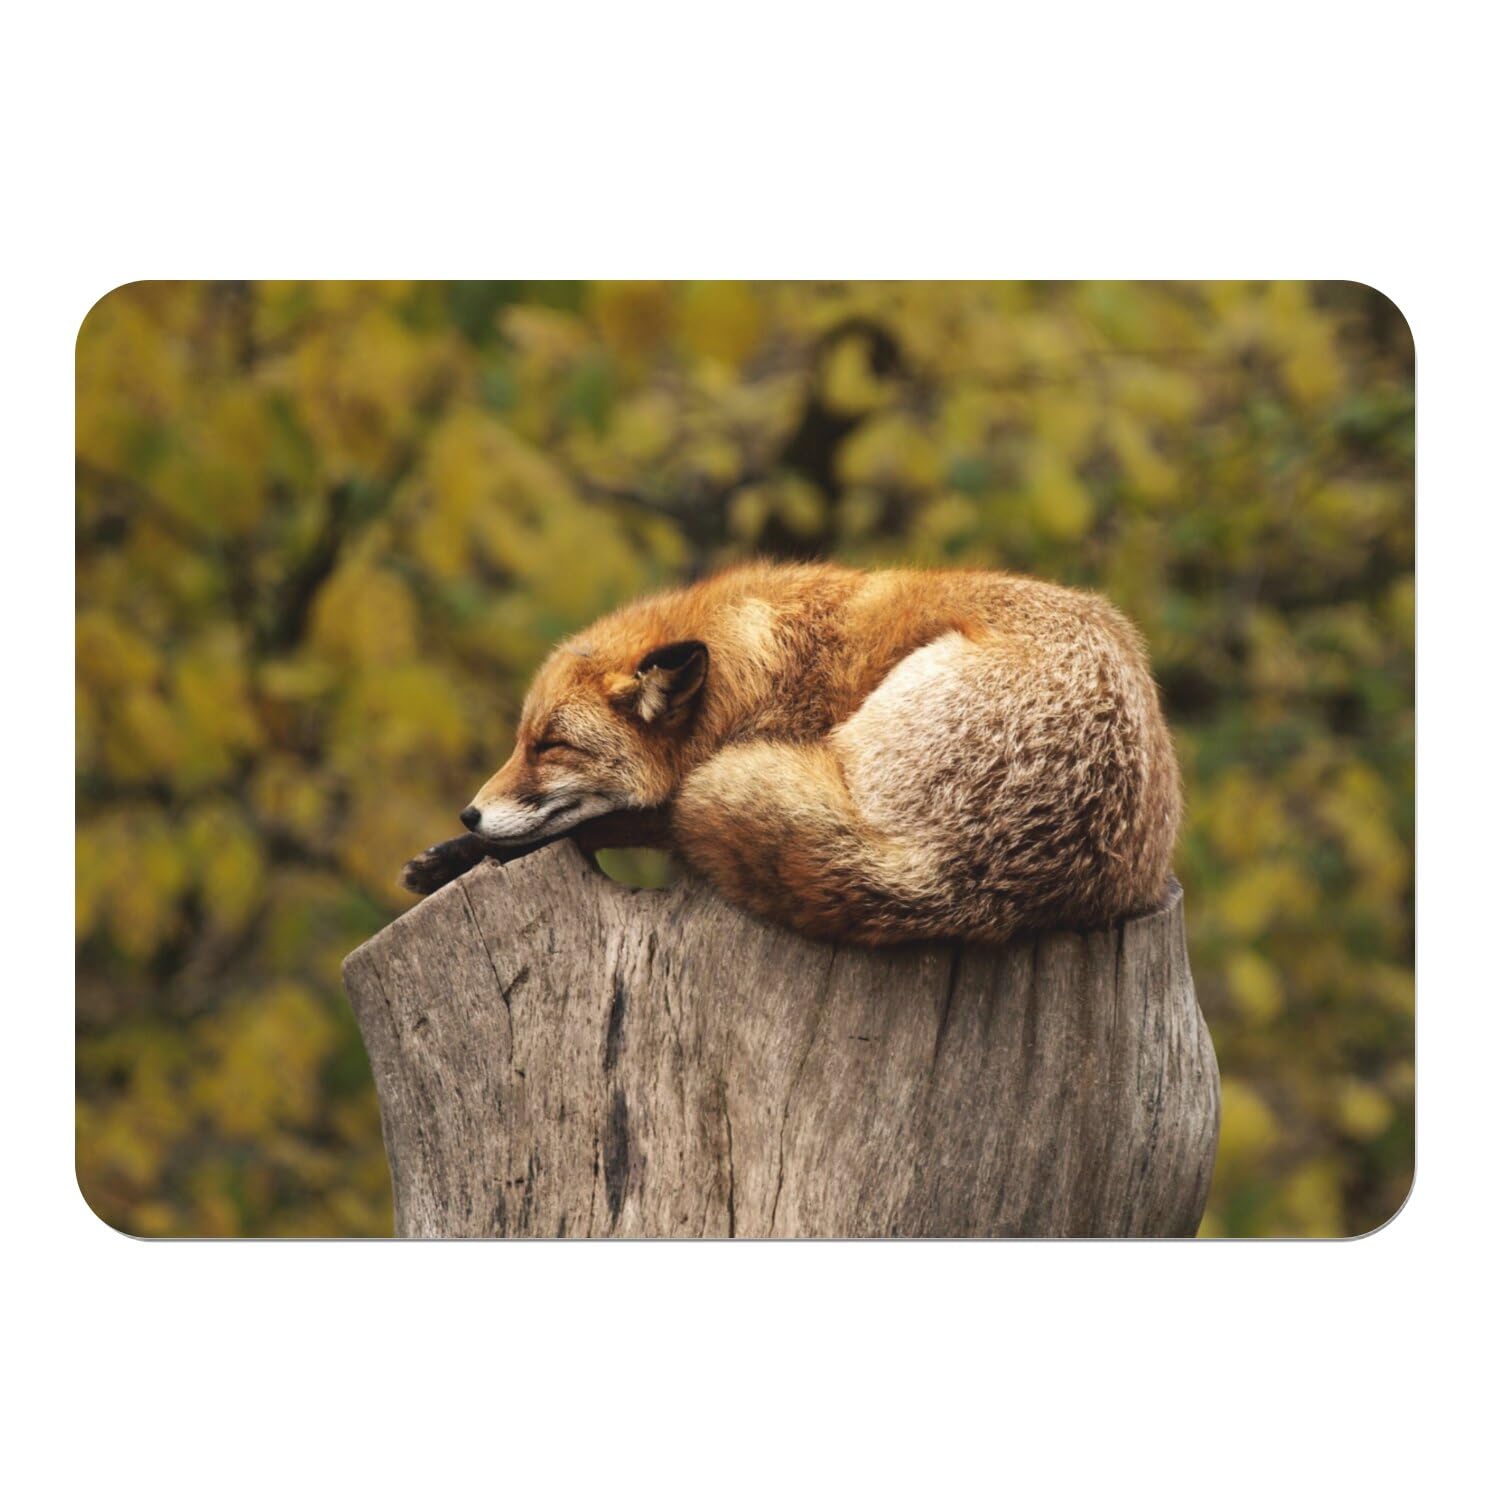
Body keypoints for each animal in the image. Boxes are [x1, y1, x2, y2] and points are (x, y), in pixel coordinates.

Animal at [401, 560, 1181, 946]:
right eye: (520, 741)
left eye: (551, 746)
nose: (469, 813)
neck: (752, 671)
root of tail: (962, 880)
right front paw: (449, 854)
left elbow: (604, 823)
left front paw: (461, 854)